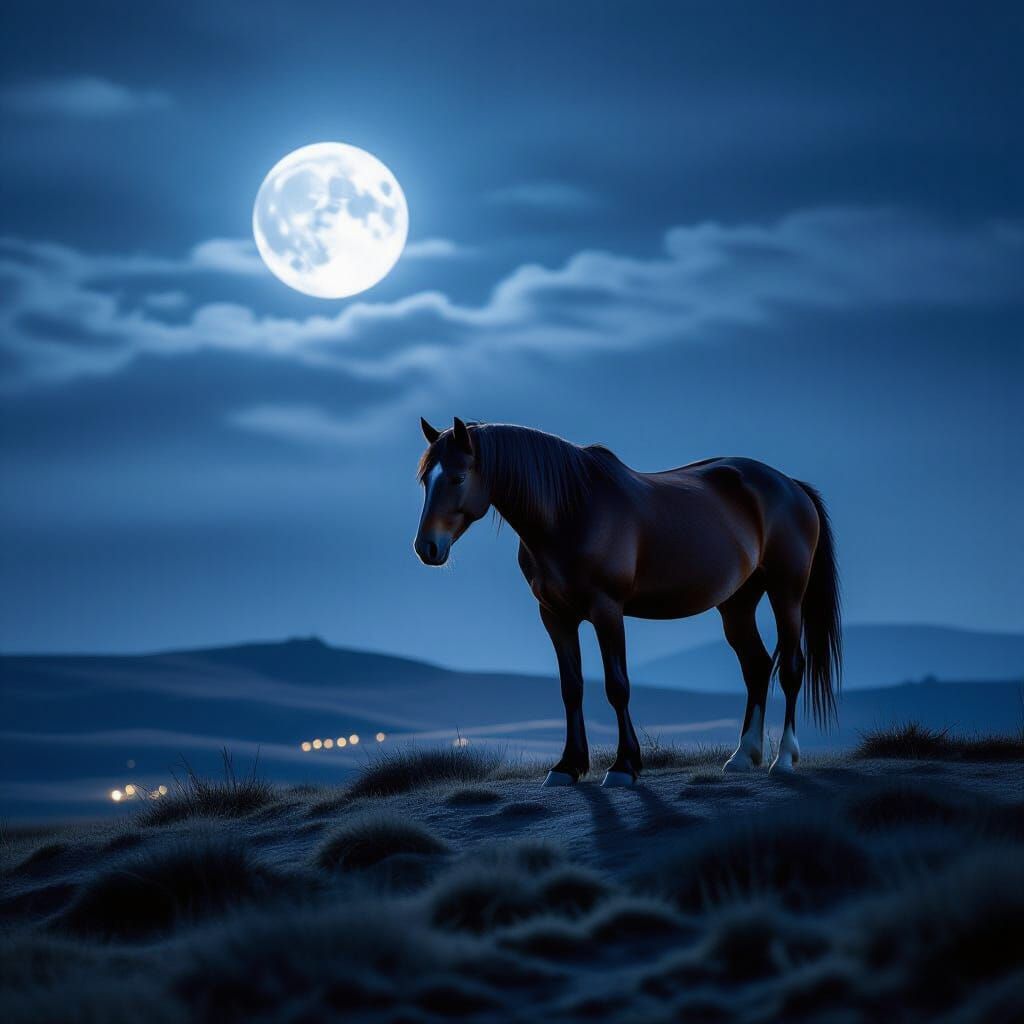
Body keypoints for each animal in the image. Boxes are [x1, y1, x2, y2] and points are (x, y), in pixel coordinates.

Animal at [414, 417, 841, 788]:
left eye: (458, 477)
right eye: (424, 480)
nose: (426, 548)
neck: (571, 512)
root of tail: (791, 485)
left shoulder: (607, 610)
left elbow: (617, 686)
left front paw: (624, 766)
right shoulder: (555, 616)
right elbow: (571, 688)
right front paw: (567, 766)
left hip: (787, 591)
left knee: (791, 667)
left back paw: (783, 759)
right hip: (737, 603)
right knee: (755, 666)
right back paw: (742, 756)